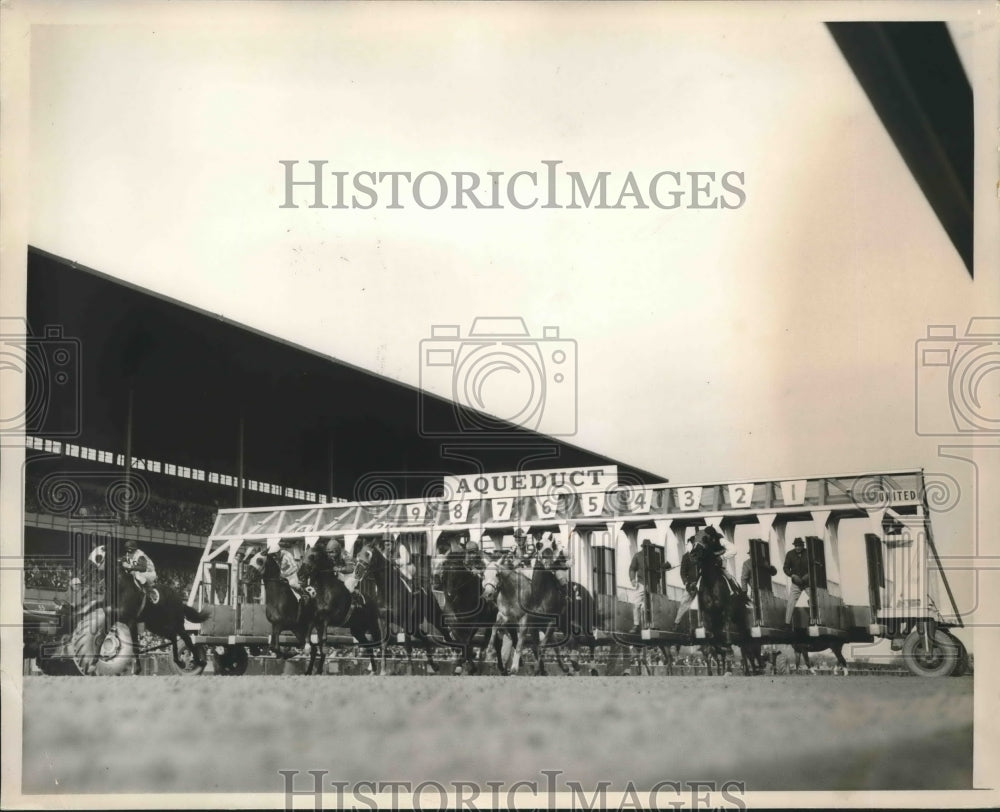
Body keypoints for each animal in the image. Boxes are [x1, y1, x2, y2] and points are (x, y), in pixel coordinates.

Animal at [88, 548, 209, 676]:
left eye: (98, 557)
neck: (120, 589)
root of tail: (179, 599)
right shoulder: (110, 618)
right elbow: (100, 640)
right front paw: (92, 665)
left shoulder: (131, 622)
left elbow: (135, 646)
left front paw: (137, 669)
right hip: (156, 625)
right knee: (172, 636)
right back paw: (179, 661)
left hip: (176, 623)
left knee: (187, 639)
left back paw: (199, 662)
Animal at [294, 548, 384, 676]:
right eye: (303, 556)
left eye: (313, 557)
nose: (300, 574)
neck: (324, 591)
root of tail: (373, 602)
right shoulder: (315, 620)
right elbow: (313, 639)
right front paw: (311, 669)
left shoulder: (329, 618)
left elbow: (323, 640)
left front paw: (318, 668)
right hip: (357, 630)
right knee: (369, 646)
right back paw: (373, 670)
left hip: (373, 626)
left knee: (378, 645)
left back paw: (380, 670)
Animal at [350, 540, 448, 672]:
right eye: (358, 554)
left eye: (368, 554)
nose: (357, 572)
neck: (388, 591)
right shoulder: (383, 620)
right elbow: (384, 644)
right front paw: (383, 670)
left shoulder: (405, 622)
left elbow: (408, 647)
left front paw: (410, 670)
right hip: (414, 625)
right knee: (424, 636)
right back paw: (433, 665)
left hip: (433, 616)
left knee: (445, 633)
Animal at [440, 548, 498, 676]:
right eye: (445, 567)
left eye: (458, 571)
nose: (450, 593)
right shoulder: (453, 624)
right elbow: (461, 642)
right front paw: (459, 664)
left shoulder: (473, 624)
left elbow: (466, 642)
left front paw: (470, 666)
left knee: (487, 638)